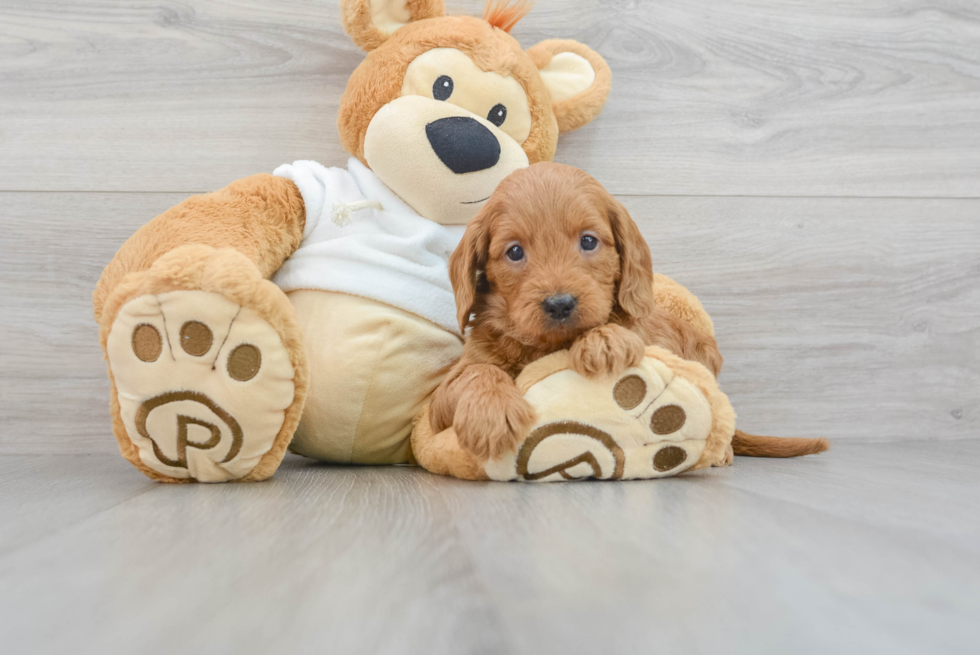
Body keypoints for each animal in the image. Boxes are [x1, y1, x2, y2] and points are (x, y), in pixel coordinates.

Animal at [434, 162, 828, 464]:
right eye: (515, 252)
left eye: (589, 241)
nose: (560, 303)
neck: (547, 346)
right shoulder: (441, 399)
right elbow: (476, 373)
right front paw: (491, 414)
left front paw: (604, 340)